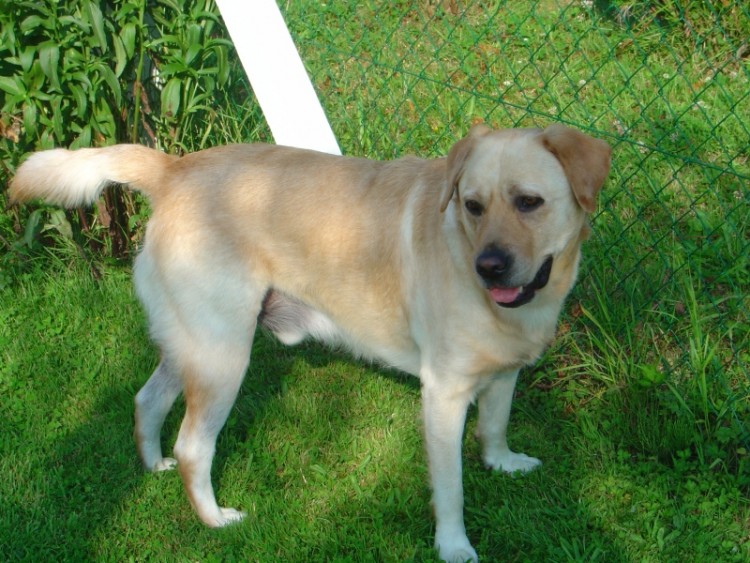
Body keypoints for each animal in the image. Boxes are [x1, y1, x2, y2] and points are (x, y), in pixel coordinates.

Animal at [10, 125, 612, 560]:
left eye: (529, 202)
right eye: (473, 205)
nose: (489, 267)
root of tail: (174, 168)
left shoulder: (503, 374)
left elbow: (495, 427)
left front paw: (503, 463)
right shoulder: (442, 395)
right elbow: (452, 489)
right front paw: (454, 546)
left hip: (191, 346)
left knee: (146, 400)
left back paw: (151, 464)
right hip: (223, 356)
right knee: (193, 447)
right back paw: (213, 520)